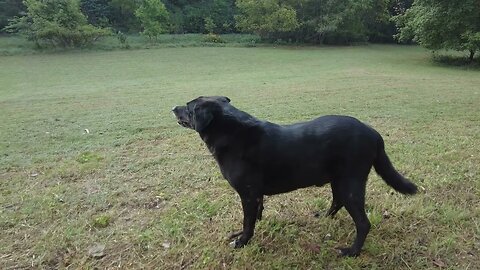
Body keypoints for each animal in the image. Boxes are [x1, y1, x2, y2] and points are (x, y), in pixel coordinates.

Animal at [172, 96, 416, 256]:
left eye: (189, 107)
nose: (173, 107)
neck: (232, 132)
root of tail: (374, 134)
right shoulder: (255, 195)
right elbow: (255, 215)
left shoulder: (248, 194)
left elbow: (248, 221)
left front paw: (242, 241)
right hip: (339, 181)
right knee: (337, 201)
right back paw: (325, 217)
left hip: (351, 184)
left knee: (363, 223)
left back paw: (352, 251)